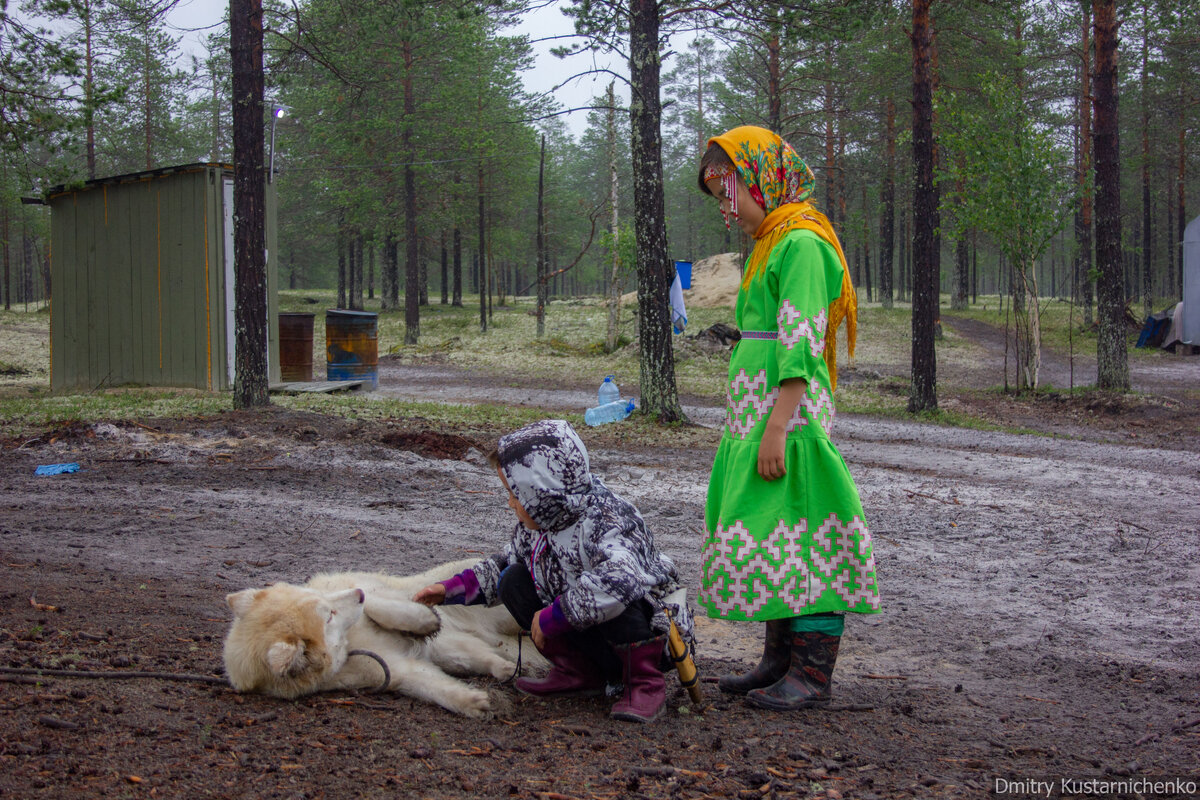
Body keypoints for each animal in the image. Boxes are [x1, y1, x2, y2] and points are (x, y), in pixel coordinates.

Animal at [223, 556, 547, 719]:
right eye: (328, 617)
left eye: (326, 607)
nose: (357, 594)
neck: (352, 642)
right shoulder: (391, 667)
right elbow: (429, 682)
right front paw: (473, 701)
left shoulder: (373, 595)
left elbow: (382, 606)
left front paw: (425, 621)